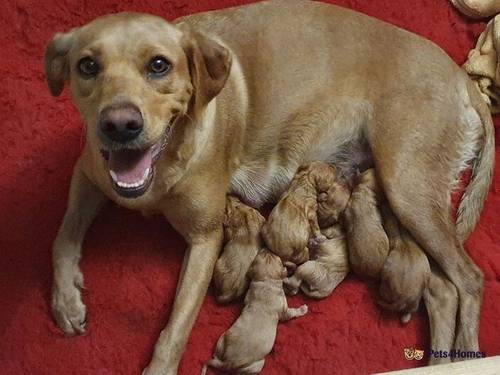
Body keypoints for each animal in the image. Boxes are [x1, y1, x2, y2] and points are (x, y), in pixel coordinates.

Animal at [45, 0, 494, 372]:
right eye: (87, 66)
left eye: (159, 65)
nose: (119, 125)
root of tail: (462, 77)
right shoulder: (87, 176)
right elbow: (62, 238)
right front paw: (67, 300)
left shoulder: (205, 240)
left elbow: (175, 329)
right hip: (398, 198)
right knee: (441, 289)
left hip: (407, 187)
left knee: (469, 279)